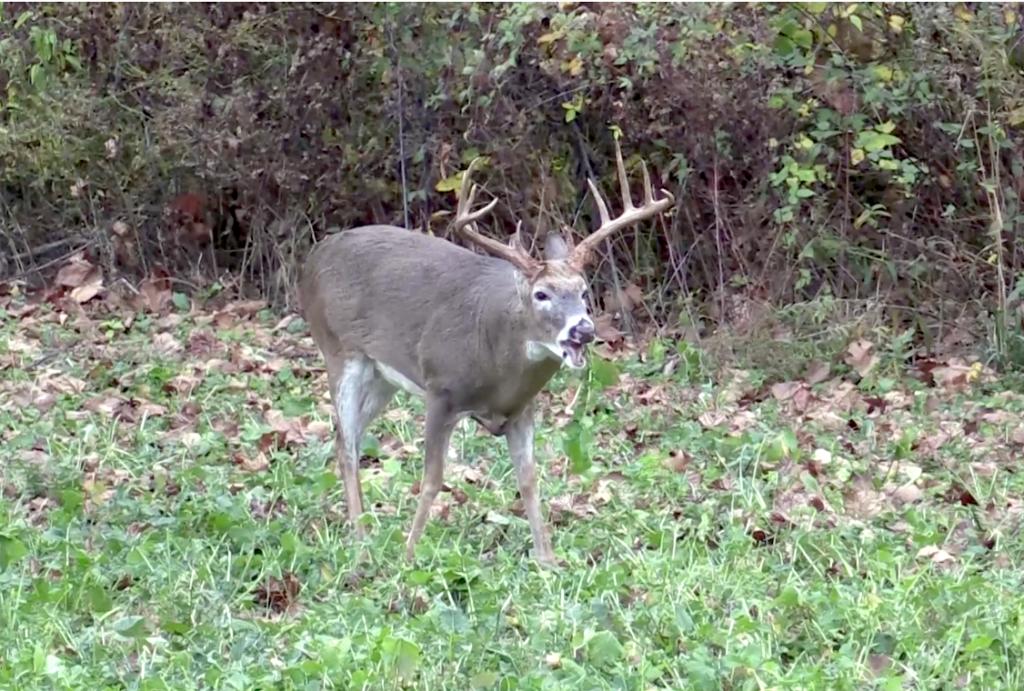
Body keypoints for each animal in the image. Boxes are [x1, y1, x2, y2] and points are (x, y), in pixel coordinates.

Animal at [299, 142, 671, 569]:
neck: (497, 367)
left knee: (350, 437)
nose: (584, 331)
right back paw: (360, 543)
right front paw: (409, 555)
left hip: (382, 376)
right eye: (541, 294)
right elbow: (432, 479)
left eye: (583, 290)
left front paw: (548, 560)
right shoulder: (440, 389)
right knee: (346, 444)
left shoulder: (522, 408)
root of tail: (313, 257)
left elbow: (529, 479)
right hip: (339, 350)